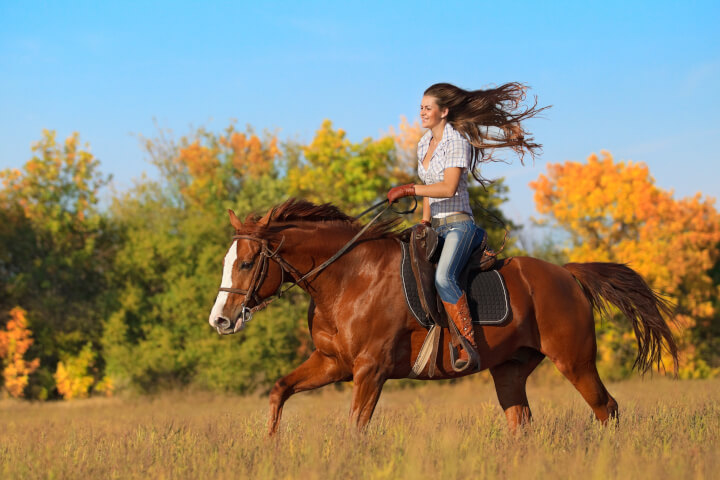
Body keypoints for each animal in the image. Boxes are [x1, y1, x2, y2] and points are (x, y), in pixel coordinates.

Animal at [207, 199, 676, 436]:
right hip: (510, 370)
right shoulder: (332, 364)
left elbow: (355, 428)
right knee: (521, 422)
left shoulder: (370, 370)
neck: (349, 278)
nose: (220, 321)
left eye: (246, 263)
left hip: (575, 361)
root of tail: (568, 273)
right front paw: (270, 448)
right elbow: (279, 391)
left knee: (606, 409)